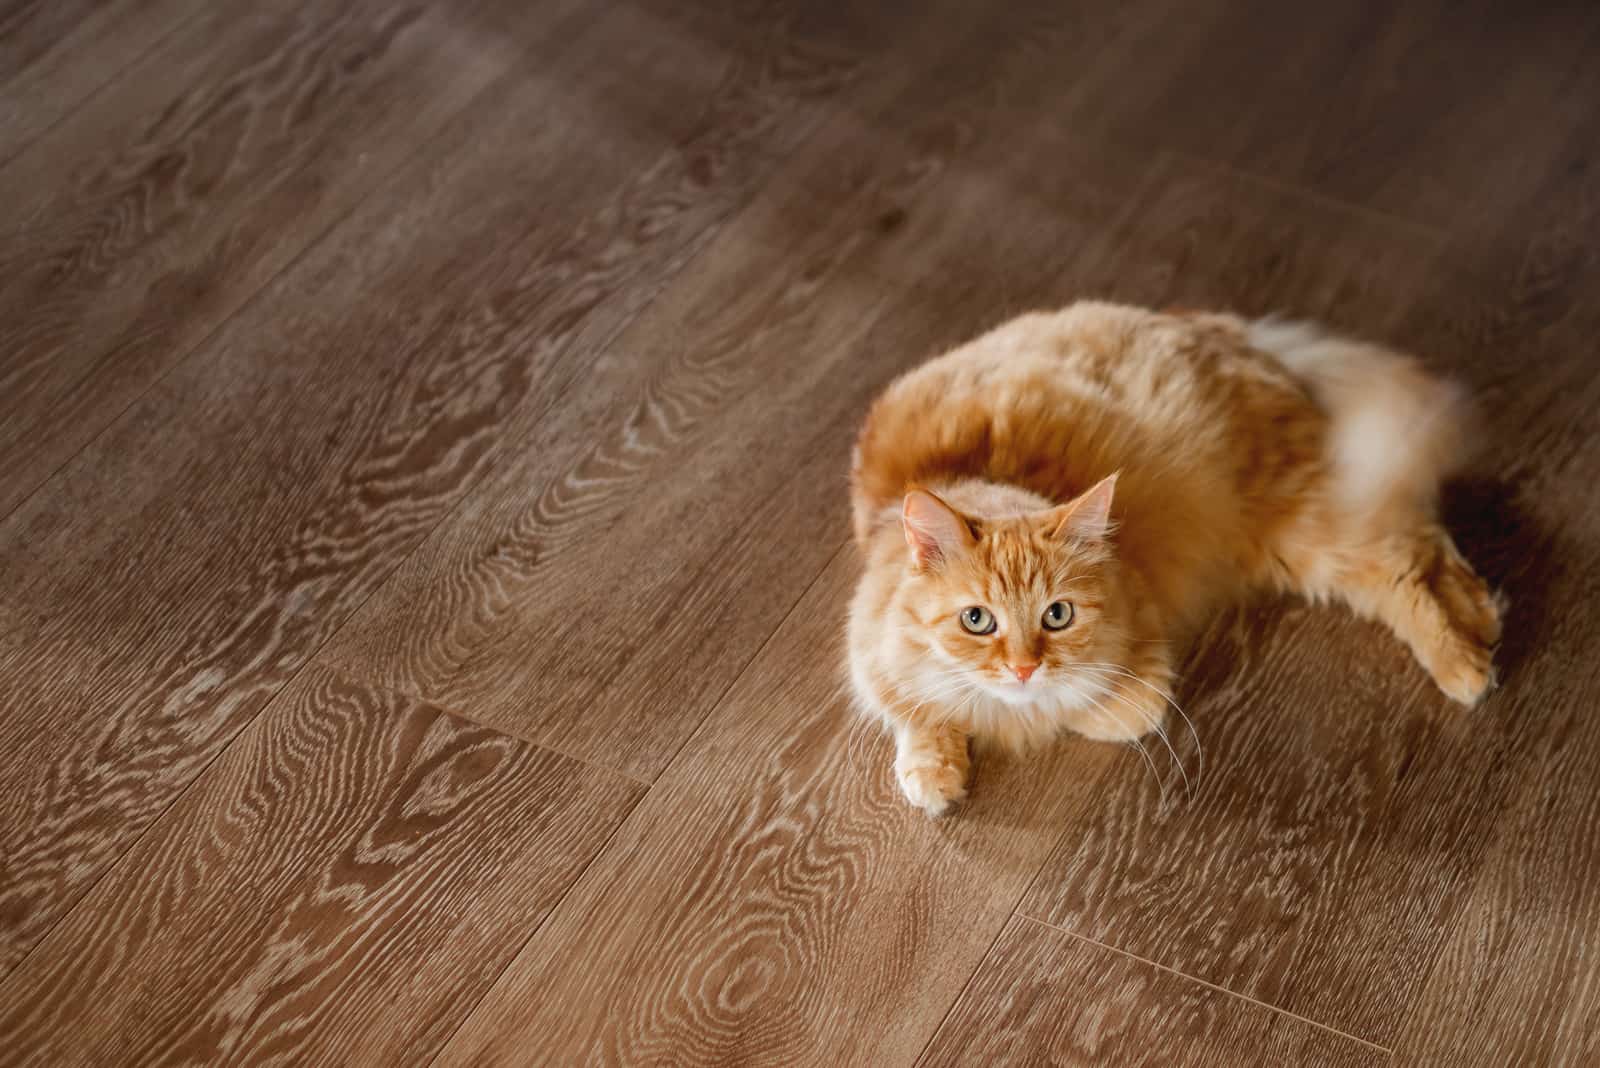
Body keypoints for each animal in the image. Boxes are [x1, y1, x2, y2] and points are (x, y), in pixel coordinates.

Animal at [851, 300, 1497, 818]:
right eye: (976, 620)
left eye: (1057, 616)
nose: (1023, 669)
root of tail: (1217, 326)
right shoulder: (874, 652)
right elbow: (917, 712)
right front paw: (934, 772)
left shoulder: (1145, 661)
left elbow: (1095, 711)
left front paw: (1034, 716)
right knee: (1425, 544)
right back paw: (1484, 624)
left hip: (1310, 528)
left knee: (1410, 558)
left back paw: (1467, 667)